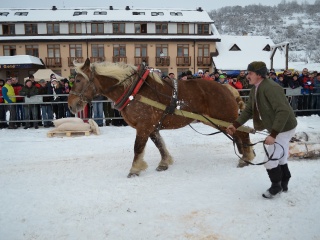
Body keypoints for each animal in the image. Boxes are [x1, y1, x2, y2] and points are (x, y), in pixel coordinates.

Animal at [68, 59, 255, 177]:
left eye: (78, 80)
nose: (71, 105)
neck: (134, 90)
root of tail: (227, 88)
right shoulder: (151, 126)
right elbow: (159, 145)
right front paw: (164, 163)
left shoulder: (143, 126)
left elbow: (138, 148)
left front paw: (134, 169)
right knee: (239, 134)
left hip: (225, 119)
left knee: (243, 133)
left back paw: (246, 157)